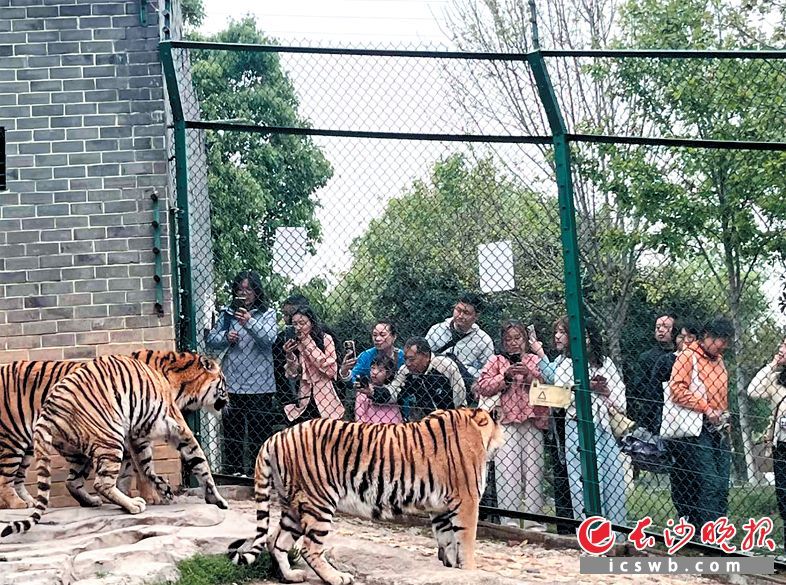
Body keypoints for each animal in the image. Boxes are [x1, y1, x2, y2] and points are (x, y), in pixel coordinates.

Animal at [0, 352, 229, 538]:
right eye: (224, 382)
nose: (229, 401)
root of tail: (50, 408)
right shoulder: (158, 430)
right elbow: (192, 462)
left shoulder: (133, 436)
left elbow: (136, 470)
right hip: (21, 439)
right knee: (7, 480)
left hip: (51, 448)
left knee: (65, 481)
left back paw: (80, 501)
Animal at [227, 408, 504, 585]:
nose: (502, 440)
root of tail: (277, 436)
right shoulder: (466, 501)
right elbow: (466, 542)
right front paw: (470, 571)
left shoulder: (439, 509)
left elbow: (448, 543)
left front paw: (453, 570)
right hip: (319, 502)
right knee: (309, 548)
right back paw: (337, 578)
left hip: (294, 506)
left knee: (276, 541)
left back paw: (292, 576)